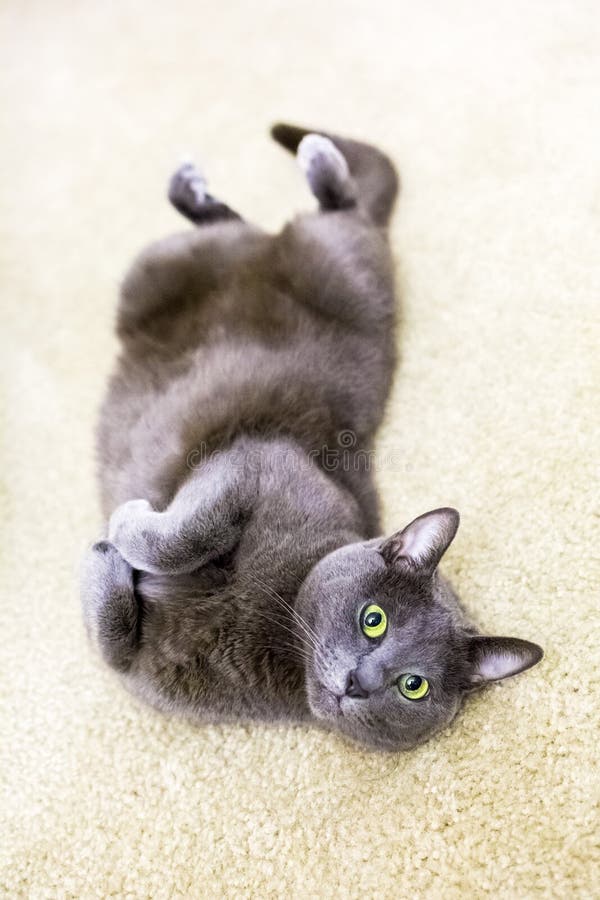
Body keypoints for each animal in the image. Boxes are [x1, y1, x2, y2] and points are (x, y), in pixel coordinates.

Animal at [81, 121, 544, 752]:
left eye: (413, 686)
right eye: (373, 620)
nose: (357, 682)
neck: (279, 630)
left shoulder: (143, 669)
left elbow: (112, 640)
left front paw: (108, 550)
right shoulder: (261, 461)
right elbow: (184, 535)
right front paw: (123, 529)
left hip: (168, 270)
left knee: (249, 220)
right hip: (335, 271)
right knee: (333, 215)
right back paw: (307, 158)